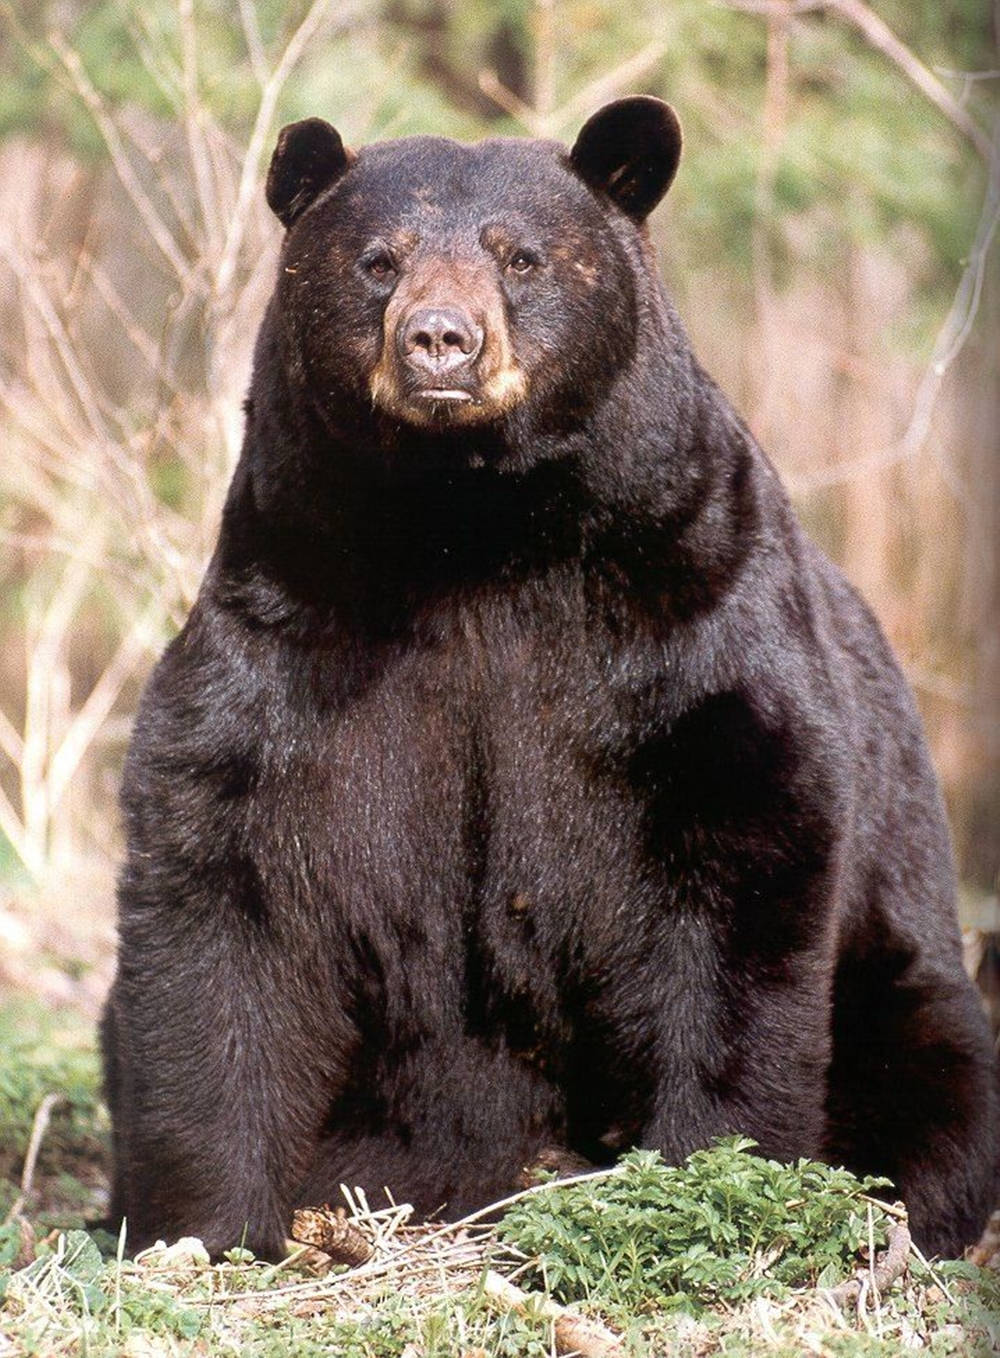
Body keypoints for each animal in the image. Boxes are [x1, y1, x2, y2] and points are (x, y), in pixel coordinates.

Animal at [105, 98, 994, 1260]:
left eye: (518, 256)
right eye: (377, 260)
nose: (441, 339)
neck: (476, 537)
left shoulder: (691, 626)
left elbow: (733, 888)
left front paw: (708, 1179)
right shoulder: (291, 620)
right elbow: (229, 888)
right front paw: (204, 1226)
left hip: (907, 977)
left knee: (937, 1079)